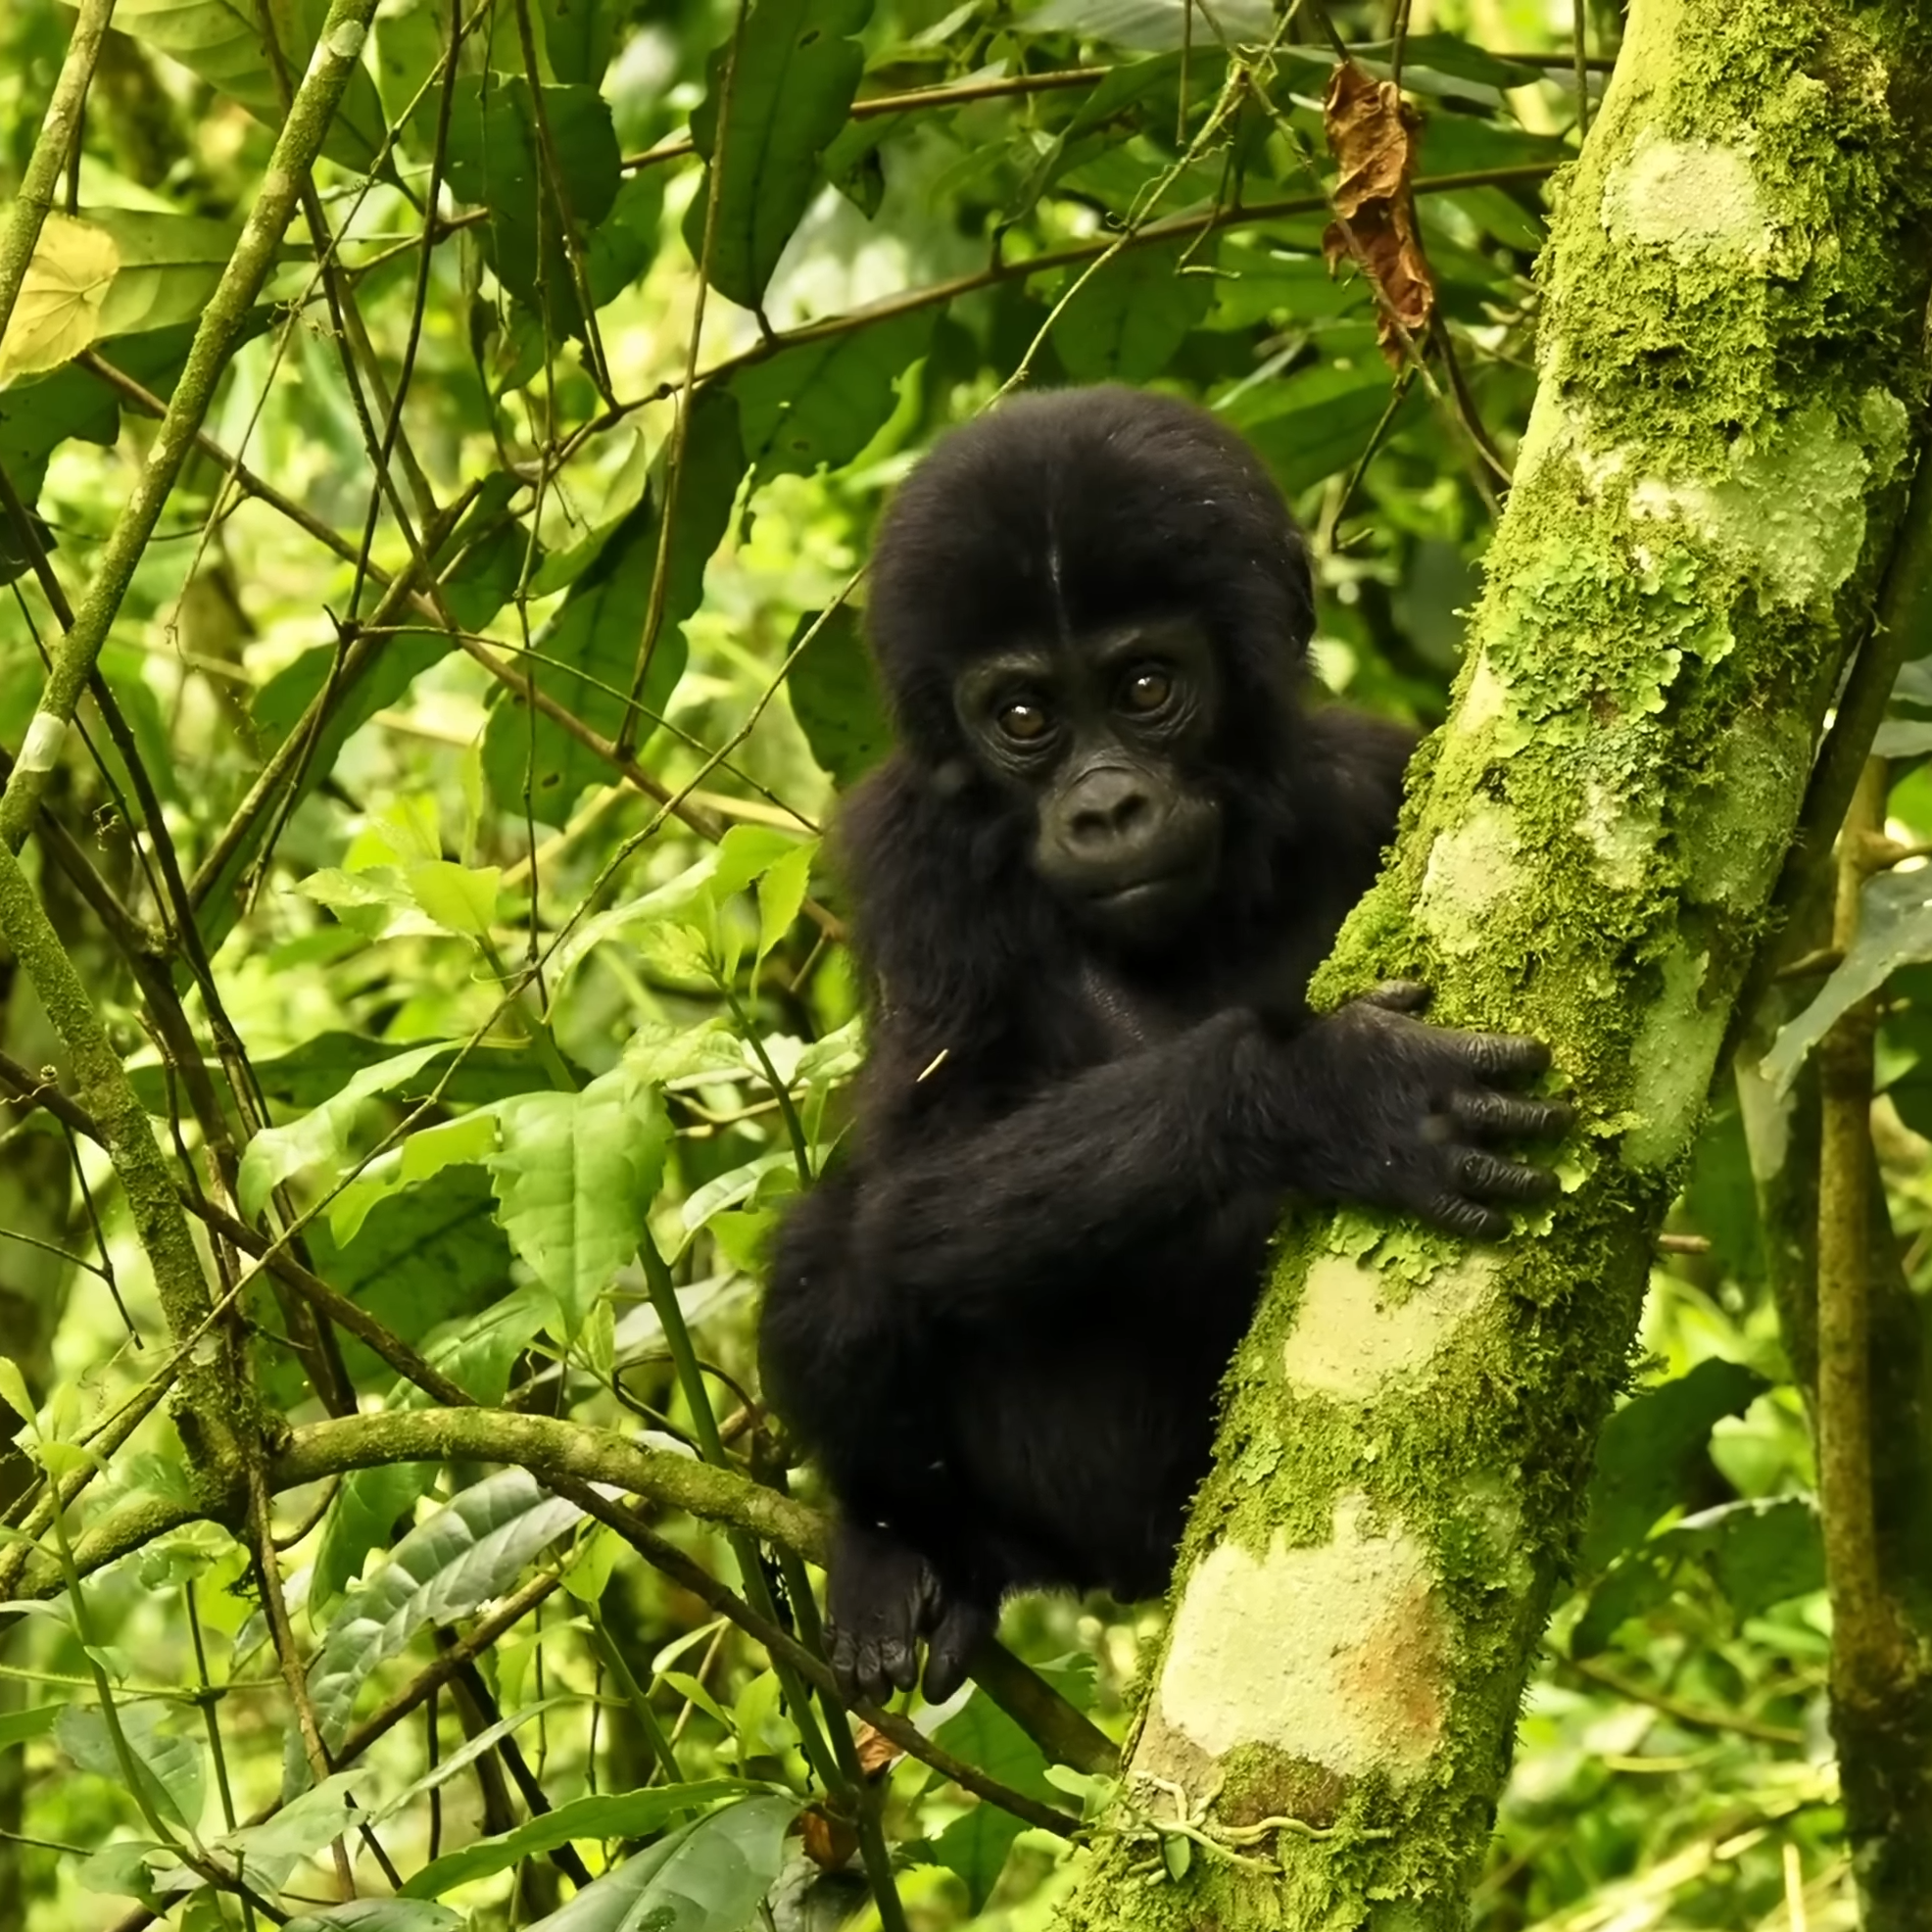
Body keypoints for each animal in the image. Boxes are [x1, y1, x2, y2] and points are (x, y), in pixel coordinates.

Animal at [757, 380, 1569, 1708]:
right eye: (1022, 716)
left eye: (1145, 688)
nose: (1105, 807)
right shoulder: (908, 850)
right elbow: (912, 1182)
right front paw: (1322, 1091)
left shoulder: (1377, 772)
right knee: (836, 1248)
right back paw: (901, 1549)